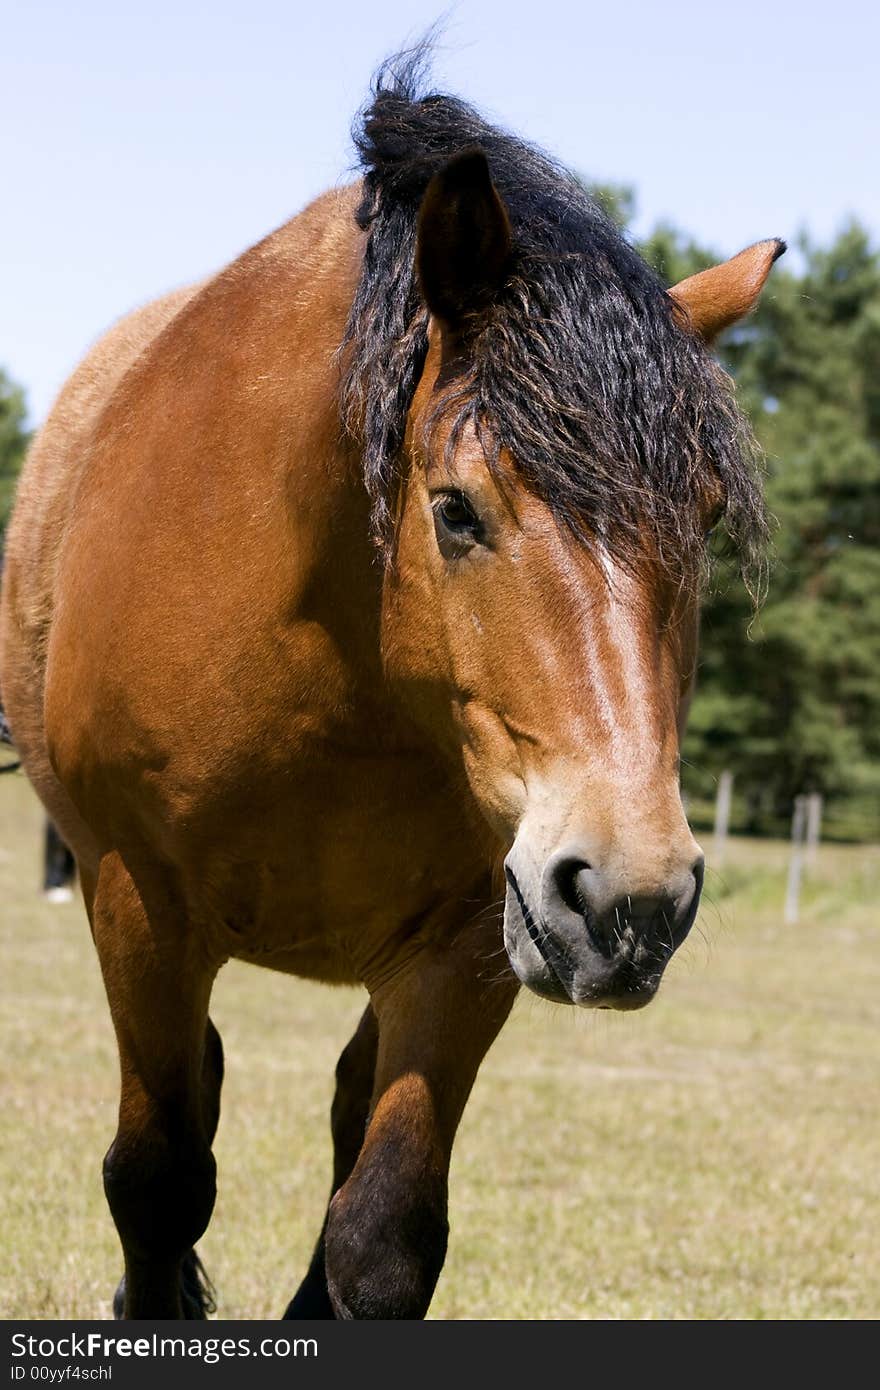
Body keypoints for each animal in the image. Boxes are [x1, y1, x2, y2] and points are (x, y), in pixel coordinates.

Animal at [0, 51, 784, 1312]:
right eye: (456, 508)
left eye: (704, 519)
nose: (632, 901)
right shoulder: (136, 906)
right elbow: (157, 1183)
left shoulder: (471, 943)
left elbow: (382, 1233)